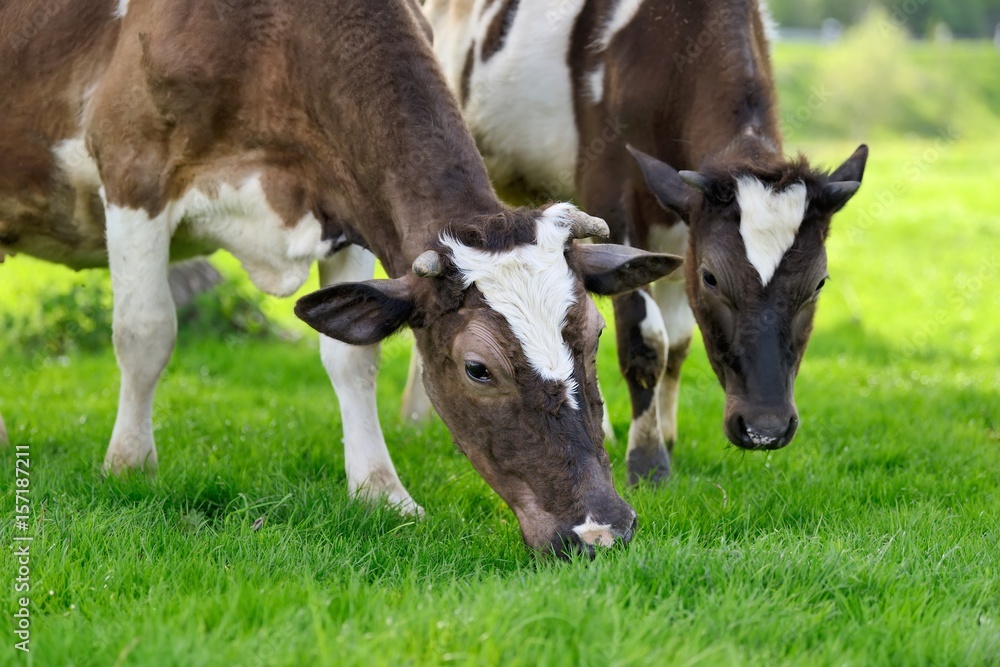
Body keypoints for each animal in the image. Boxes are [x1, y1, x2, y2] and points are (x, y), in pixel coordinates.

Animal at [0, 0, 688, 552]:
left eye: (593, 336)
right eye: (477, 369)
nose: (601, 530)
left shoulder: (346, 211)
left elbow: (351, 359)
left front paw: (382, 490)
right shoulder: (132, 170)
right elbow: (145, 333)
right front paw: (130, 465)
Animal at [422, 0, 868, 482]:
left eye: (819, 283)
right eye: (712, 278)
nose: (765, 428)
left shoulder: (681, 227)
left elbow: (677, 343)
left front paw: (665, 436)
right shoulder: (610, 193)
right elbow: (646, 338)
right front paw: (649, 458)